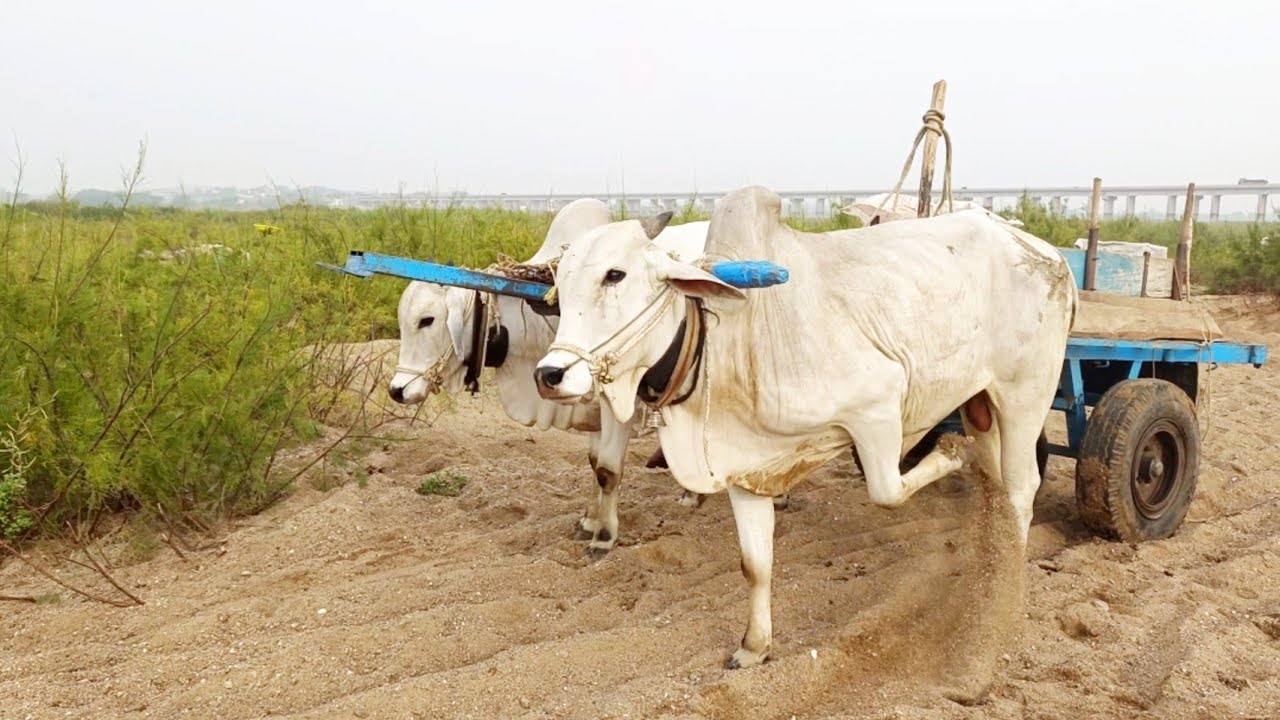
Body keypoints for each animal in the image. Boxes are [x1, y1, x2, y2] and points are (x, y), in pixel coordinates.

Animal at [388, 198, 724, 557]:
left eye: (426, 320)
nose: (397, 390)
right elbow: (595, 463)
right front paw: (589, 521)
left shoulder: (621, 398)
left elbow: (608, 469)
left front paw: (604, 536)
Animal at [534, 185, 1077, 669]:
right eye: (561, 282)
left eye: (615, 274)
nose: (549, 375)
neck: (730, 336)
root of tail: (1047, 252)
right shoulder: (744, 466)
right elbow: (755, 566)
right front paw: (754, 647)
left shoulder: (878, 404)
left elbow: (888, 491)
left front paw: (948, 451)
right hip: (980, 400)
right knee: (997, 479)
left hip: (1025, 392)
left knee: (1020, 488)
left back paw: (1006, 583)